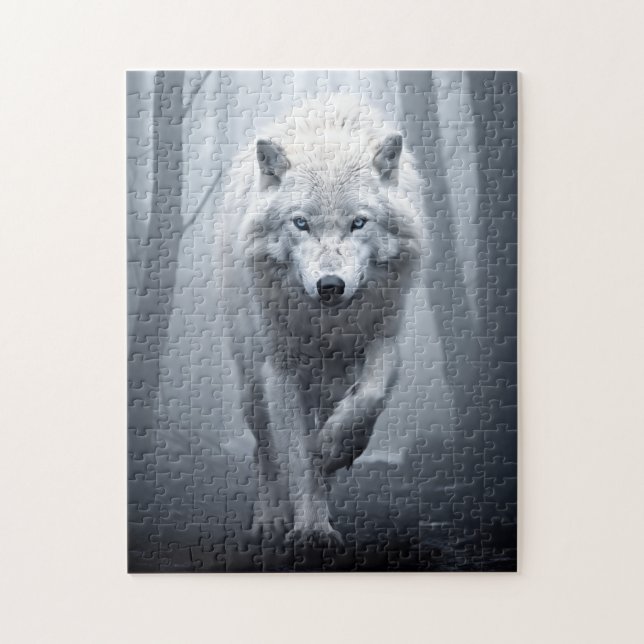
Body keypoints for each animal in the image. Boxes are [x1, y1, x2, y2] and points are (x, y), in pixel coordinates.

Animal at [224, 95, 423, 545]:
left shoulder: (384, 339)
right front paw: (310, 527)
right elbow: (297, 452)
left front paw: (333, 452)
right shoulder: (281, 366)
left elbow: (366, 401)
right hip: (251, 382)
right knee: (266, 450)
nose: (330, 285)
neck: (326, 327)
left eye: (359, 222)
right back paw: (271, 518)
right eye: (301, 223)